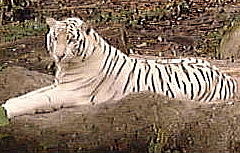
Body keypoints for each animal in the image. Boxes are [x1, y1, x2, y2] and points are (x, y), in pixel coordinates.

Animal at [1, 17, 238, 118]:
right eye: (54, 38)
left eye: (70, 40)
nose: (59, 54)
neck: (67, 67)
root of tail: (226, 76)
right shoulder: (58, 85)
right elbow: (32, 94)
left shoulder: (70, 91)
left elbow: (38, 99)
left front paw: (7, 110)